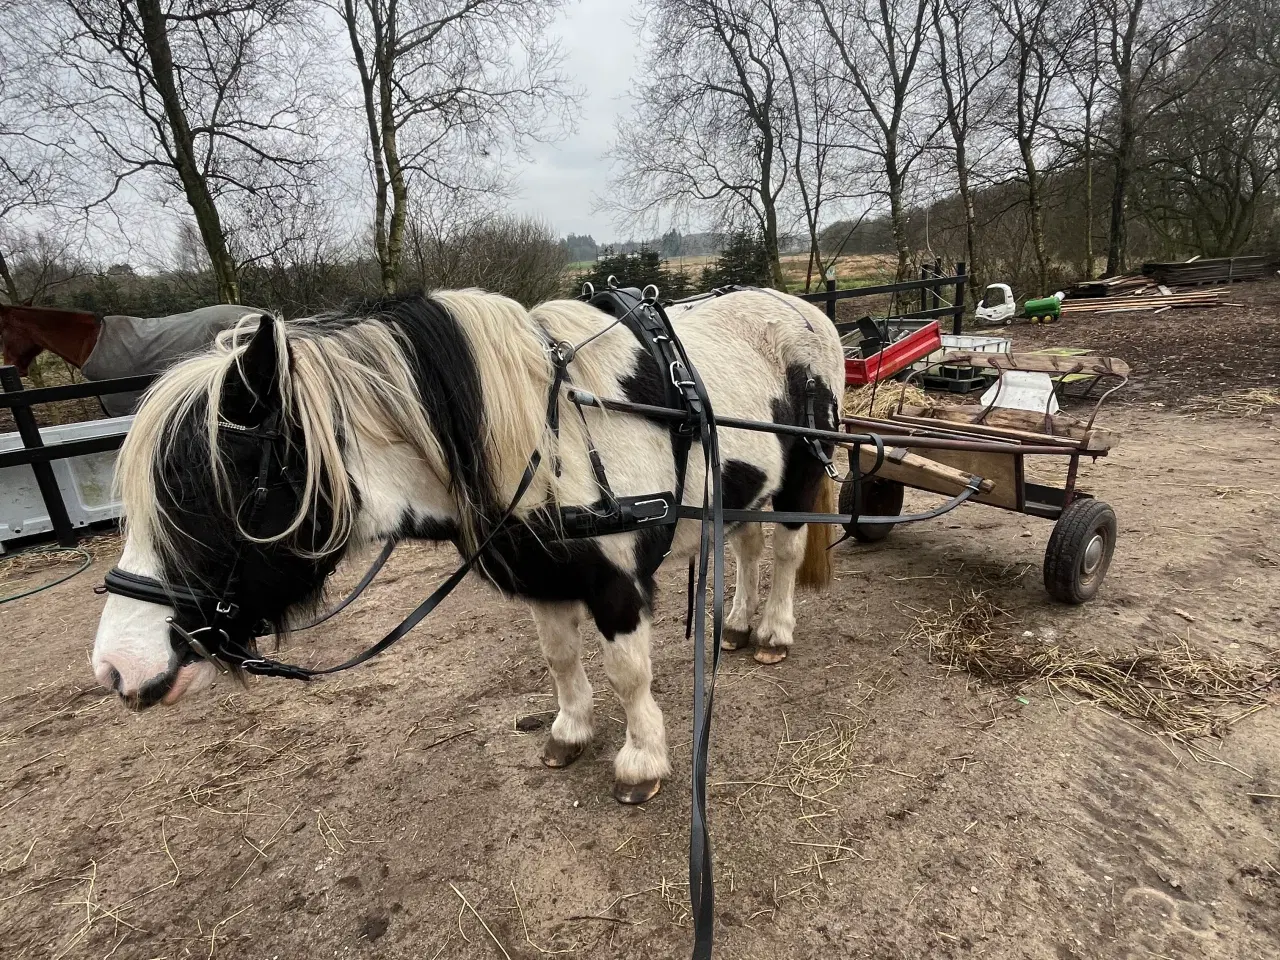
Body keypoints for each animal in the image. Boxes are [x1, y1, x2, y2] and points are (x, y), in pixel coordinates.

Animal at [91, 287, 845, 804]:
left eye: (199, 494)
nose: (116, 668)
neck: (547, 435)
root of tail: (803, 308)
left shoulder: (617, 585)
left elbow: (628, 673)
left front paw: (642, 761)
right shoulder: (543, 576)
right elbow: (561, 659)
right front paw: (570, 731)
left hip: (803, 474)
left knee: (781, 555)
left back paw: (774, 631)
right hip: (743, 488)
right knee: (747, 547)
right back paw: (738, 624)